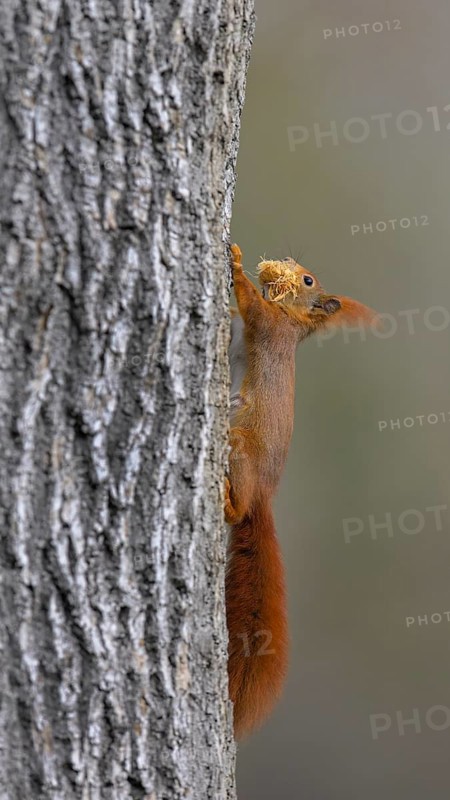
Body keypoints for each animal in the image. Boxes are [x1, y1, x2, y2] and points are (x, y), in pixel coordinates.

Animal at [225, 243, 377, 740]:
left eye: (308, 281)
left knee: (237, 511)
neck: (292, 323)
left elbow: (250, 303)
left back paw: (227, 501)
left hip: (241, 451)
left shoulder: (268, 325)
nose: (289, 262)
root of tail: (262, 497)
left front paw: (235, 261)